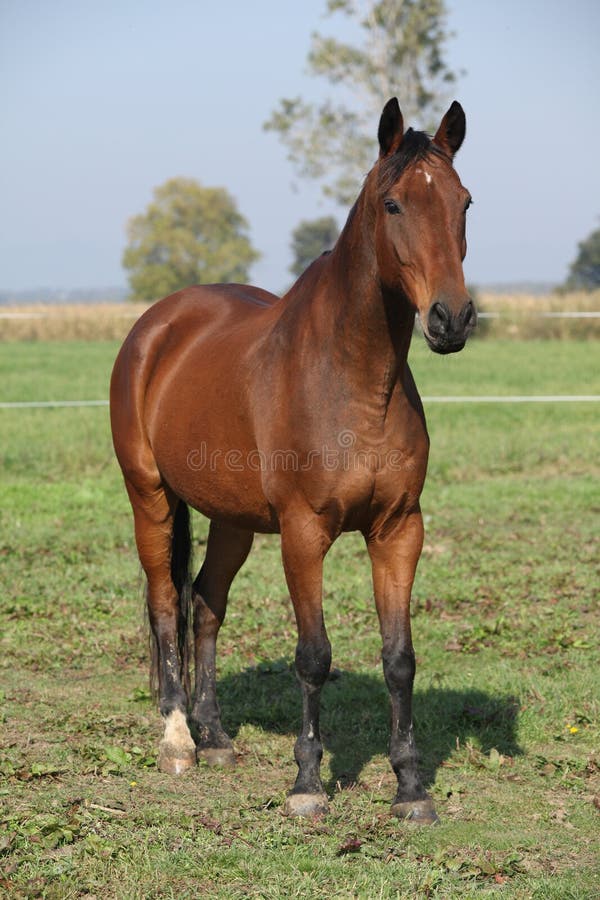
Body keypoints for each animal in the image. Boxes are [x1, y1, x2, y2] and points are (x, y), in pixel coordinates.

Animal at [110, 96, 476, 824]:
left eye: (464, 202)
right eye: (393, 204)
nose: (451, 319)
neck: (353, 382)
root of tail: (157, 326)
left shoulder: (399, 530)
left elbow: (400, 658)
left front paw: (410, 788)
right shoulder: (305, 533)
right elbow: (313, 656)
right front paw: (307, 784)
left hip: (232, 520)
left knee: (205, 604)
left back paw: (216, 737)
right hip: (150, 497)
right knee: (166, 604)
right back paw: (178, 741)